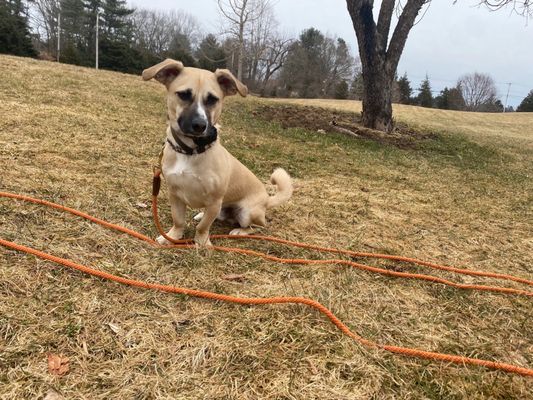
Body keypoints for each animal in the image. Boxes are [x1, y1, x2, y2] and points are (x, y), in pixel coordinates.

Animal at [142, 58, 290, 247]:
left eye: (213, 99)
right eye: (183, 95)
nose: (200, 125)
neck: (191, 151)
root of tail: (266, 200)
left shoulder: (214, 202)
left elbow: (203, 227)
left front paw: (202, 243)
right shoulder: (174, 194)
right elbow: (179, 220)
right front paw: (172, 237)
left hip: (246, 212)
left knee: (258, 227)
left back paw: (239, 231)